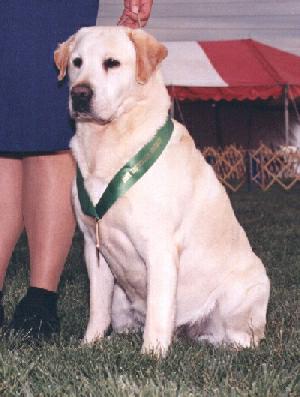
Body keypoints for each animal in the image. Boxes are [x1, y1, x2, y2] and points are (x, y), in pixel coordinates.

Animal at [55, 27, 270, 356]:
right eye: (77, 62)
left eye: (112, 63)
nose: (79, 94)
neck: (106, 144)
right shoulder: (94, 245)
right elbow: (97, 308)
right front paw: (89, 344)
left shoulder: (159, 247)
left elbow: (158, 310)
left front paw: (152, 355)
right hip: (122, 298)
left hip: (247, 289)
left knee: (242, 339)